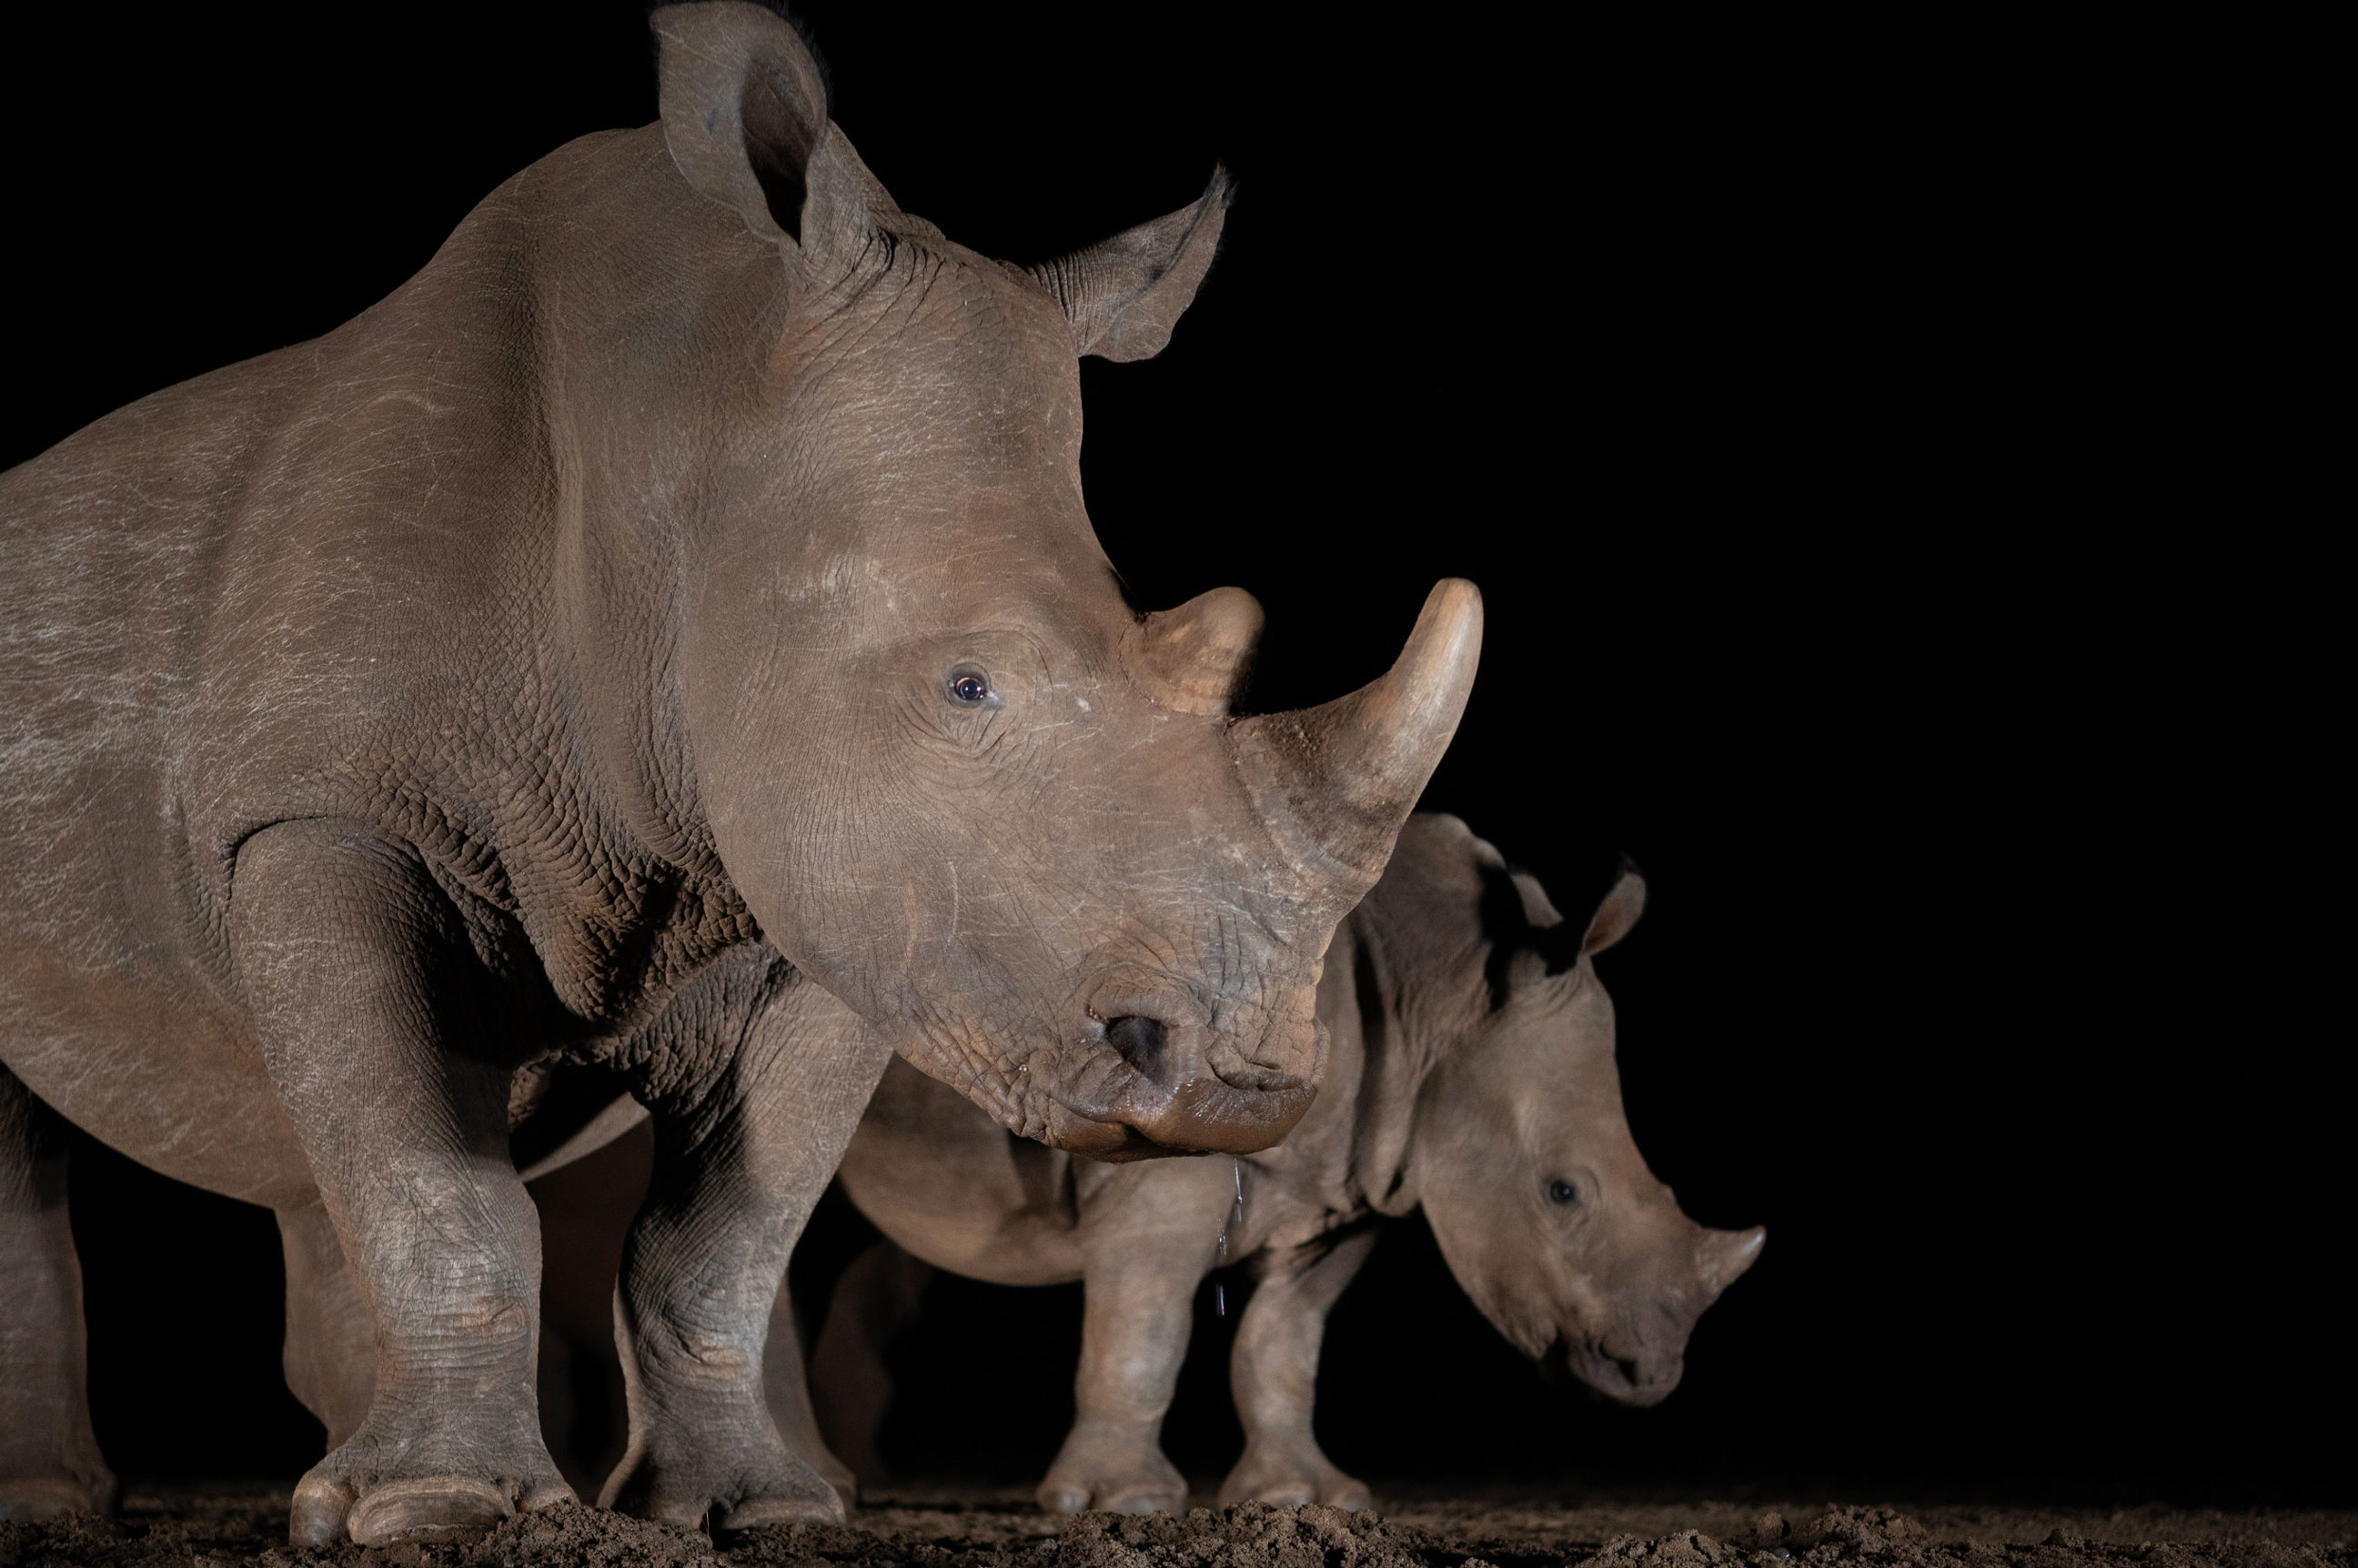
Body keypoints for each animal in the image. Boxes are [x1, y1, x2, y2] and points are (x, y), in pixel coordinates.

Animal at [0, 2, 1479, 1542]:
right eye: (968, 687)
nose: (1244, 1093)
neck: (690, 445)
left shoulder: (857, 893)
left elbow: (723, 1236)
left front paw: (752, 1511)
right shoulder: (325, 812)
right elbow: (436, 1178)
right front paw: (449, 1509)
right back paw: (76, 1504)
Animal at [523, 815, 1766, 1512]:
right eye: (1563, 1191)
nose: (1651, 1376)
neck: (1442, 993)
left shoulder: (1350, 1185)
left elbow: (1284, 1342)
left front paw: (1313, 1502)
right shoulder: (1172, 1147)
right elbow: (1152, 1316)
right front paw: (1120, 1506)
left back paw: (830, 1483)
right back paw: (817, 1491)